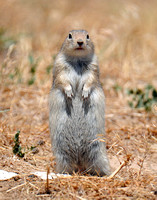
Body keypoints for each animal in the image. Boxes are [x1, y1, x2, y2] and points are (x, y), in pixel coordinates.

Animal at [49, 29, 110, 175]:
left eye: (88, 36)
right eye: (69, 35)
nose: (80, 42)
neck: (77, 60)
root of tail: (79, 160)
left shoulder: (93, 68)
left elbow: (90, 81)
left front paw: (84, 93)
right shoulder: (60, 67)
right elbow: (62, 80)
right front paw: (70, 93)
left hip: (97, 150)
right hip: (61, 153)